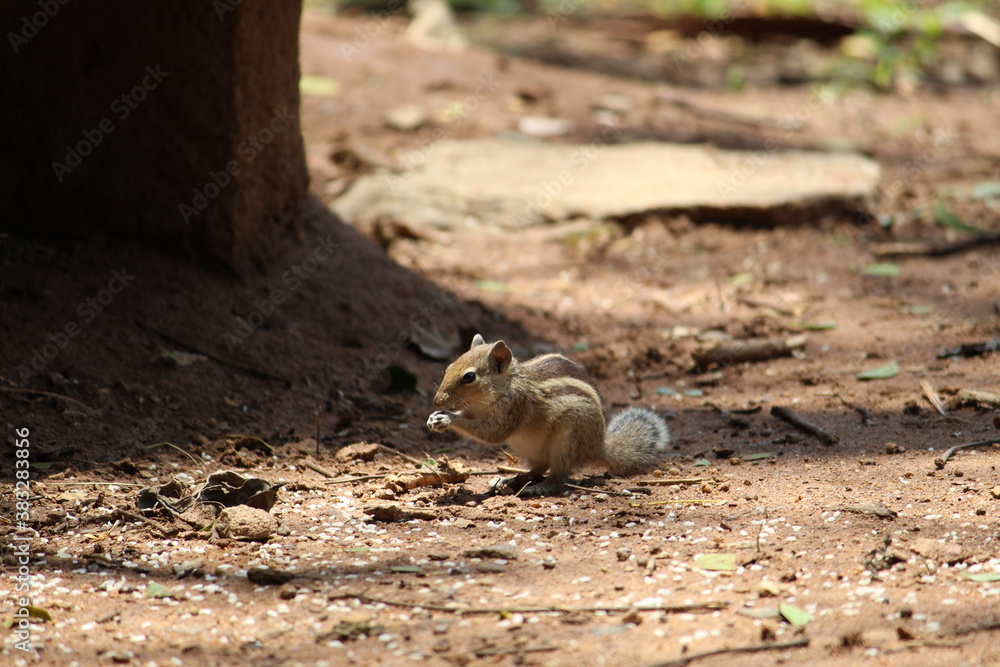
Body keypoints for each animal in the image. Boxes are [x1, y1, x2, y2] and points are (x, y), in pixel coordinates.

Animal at [427, 334, 669, 496]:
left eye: (469, 377)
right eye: (449, 366)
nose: (436, 401)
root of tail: (598, 447)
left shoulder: (513, 408)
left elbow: (491, 434)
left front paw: (447, 418)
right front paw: (434, 416)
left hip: (566, 440)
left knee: (559, 476)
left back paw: (538, 488)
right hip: (529, 447)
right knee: (539, 467)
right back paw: (508, 480)